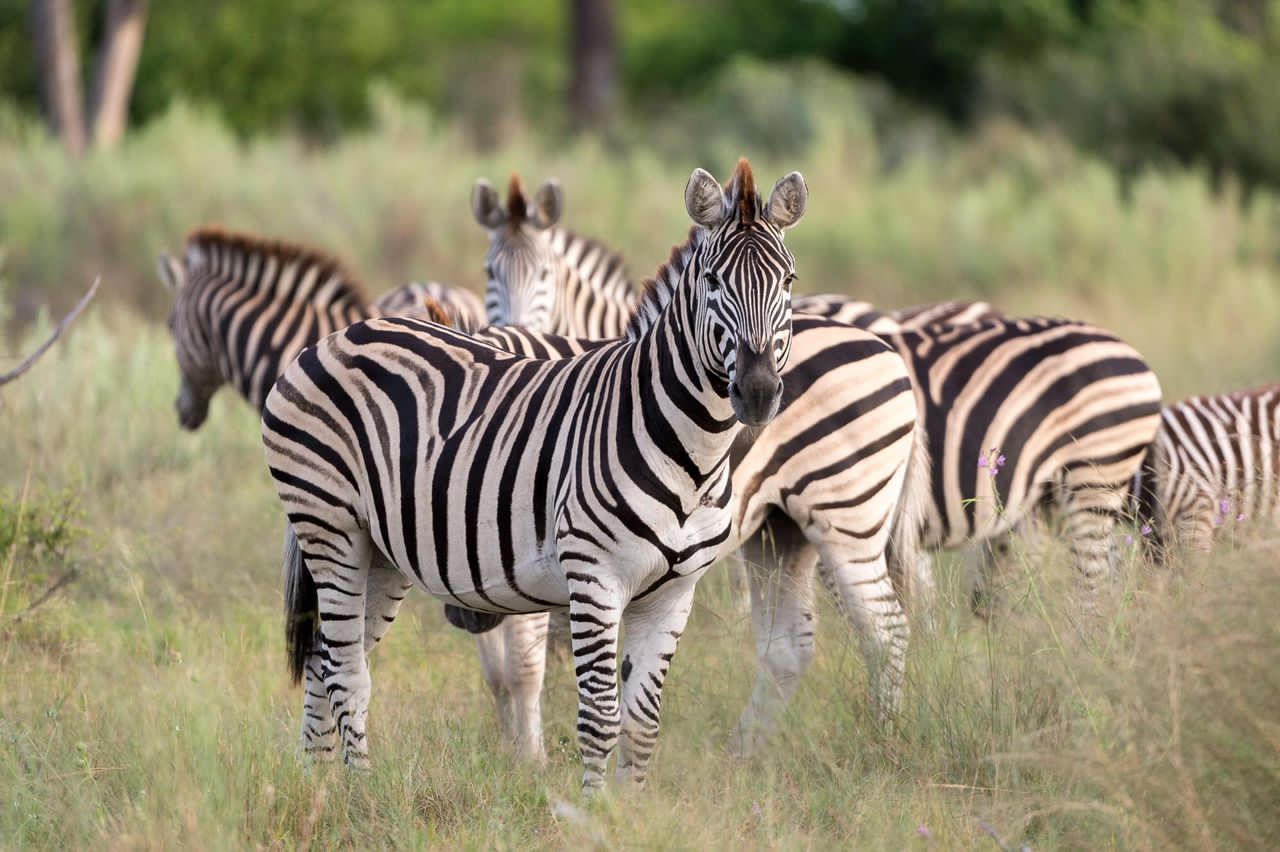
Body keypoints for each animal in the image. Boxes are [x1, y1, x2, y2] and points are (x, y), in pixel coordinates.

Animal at [262, 160, 912, 789]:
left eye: (789, 281)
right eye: (711, 281)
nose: (757, 393)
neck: (689, 452)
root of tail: (339, 335)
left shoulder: (672, 593)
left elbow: (641, 721)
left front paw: (626, 808)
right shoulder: (590, 579)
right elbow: (596, 714)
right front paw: (587, 807)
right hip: (335, 530)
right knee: (343, 669)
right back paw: (352, 793)